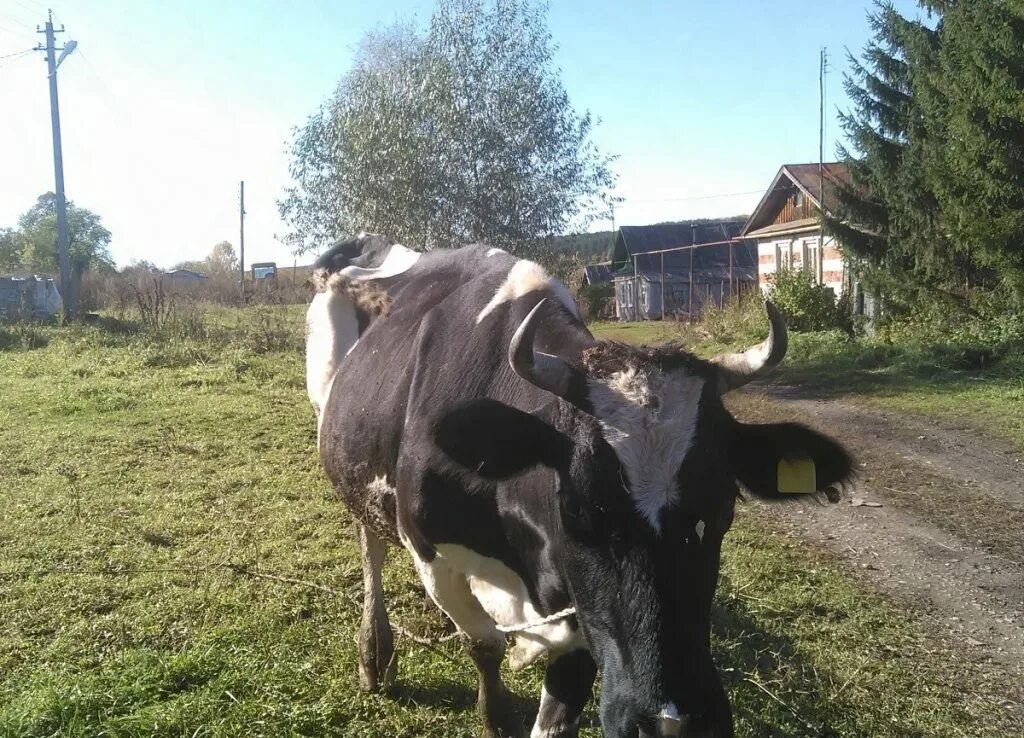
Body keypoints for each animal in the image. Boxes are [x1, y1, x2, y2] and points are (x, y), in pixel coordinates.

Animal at [307, 236, 851, 736]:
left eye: (721, 511)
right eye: (576, 508)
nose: (671, 724)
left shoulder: (586, 614)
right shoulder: (430, 550)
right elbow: (484, 642)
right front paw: (495, 714)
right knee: (369, 540)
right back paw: (374, 654)